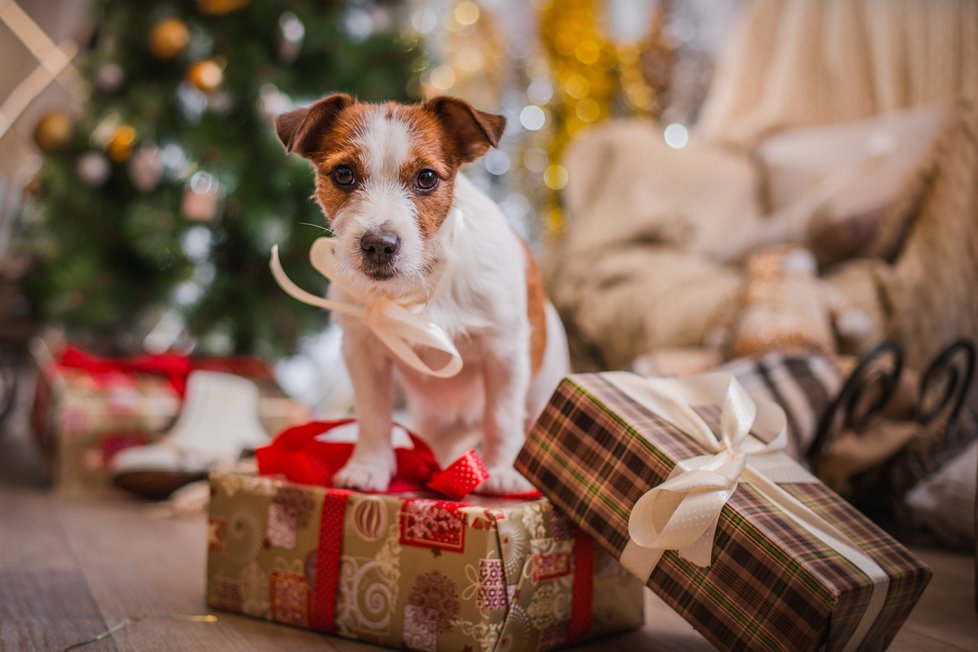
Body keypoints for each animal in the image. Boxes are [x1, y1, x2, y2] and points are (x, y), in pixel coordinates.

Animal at [270, 94, 568, 494]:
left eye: (426, 178)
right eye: (344, 174)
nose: (379, 245)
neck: (418, 287)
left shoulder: (503, 352)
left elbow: (502, 417)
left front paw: (502, 471)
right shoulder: (364, 352)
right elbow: (373, 415)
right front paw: (369, 466)